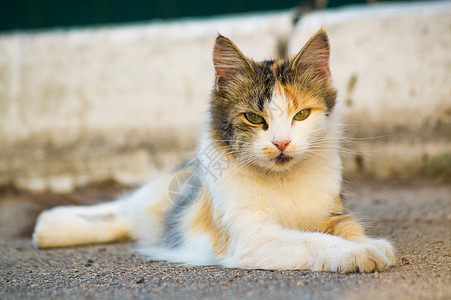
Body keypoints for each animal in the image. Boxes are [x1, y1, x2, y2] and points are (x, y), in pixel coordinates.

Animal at [33, 29, 398, 274]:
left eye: (302, 114)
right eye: (254, 118)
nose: (281, 143)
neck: (283, 182)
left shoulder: (333, 215)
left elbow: (349, 231)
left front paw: (367, 246)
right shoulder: (251, 236)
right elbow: (313, 241)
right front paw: (359, 254)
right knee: (126, 208)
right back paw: (49, 227)